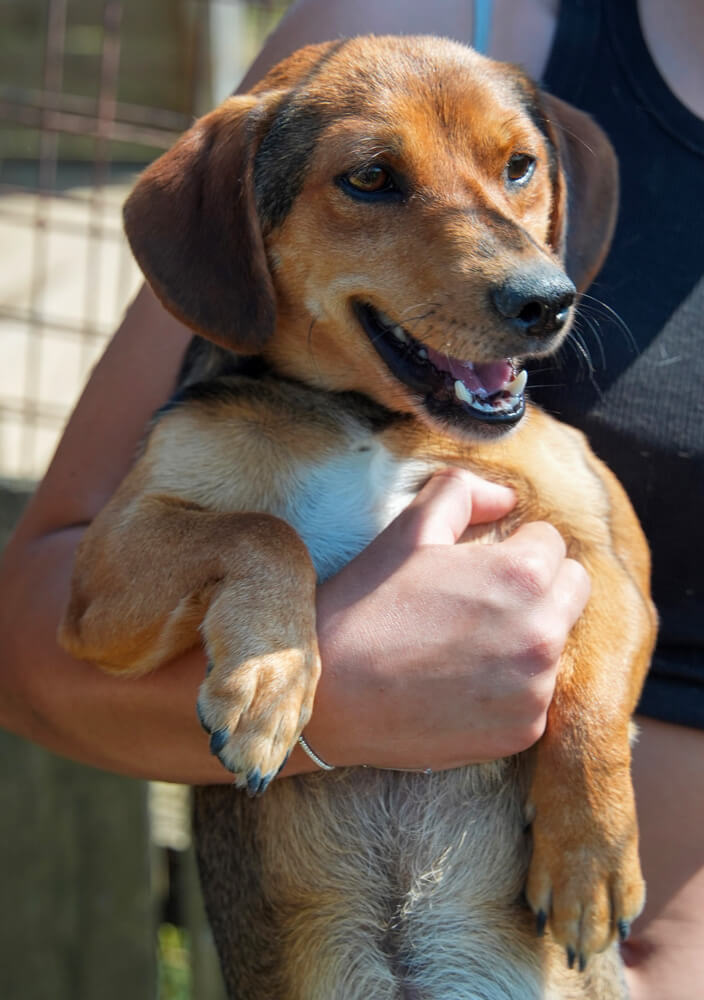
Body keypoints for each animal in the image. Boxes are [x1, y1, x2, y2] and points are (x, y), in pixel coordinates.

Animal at [59, 36, 656, 999]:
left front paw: (592, 858)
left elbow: (595, 696)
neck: (370, 418)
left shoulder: (608, 559)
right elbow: (263, 530)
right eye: (371, 178)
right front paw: (270, 681)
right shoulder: (101, 581)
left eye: (520, 166)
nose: (546, 300)